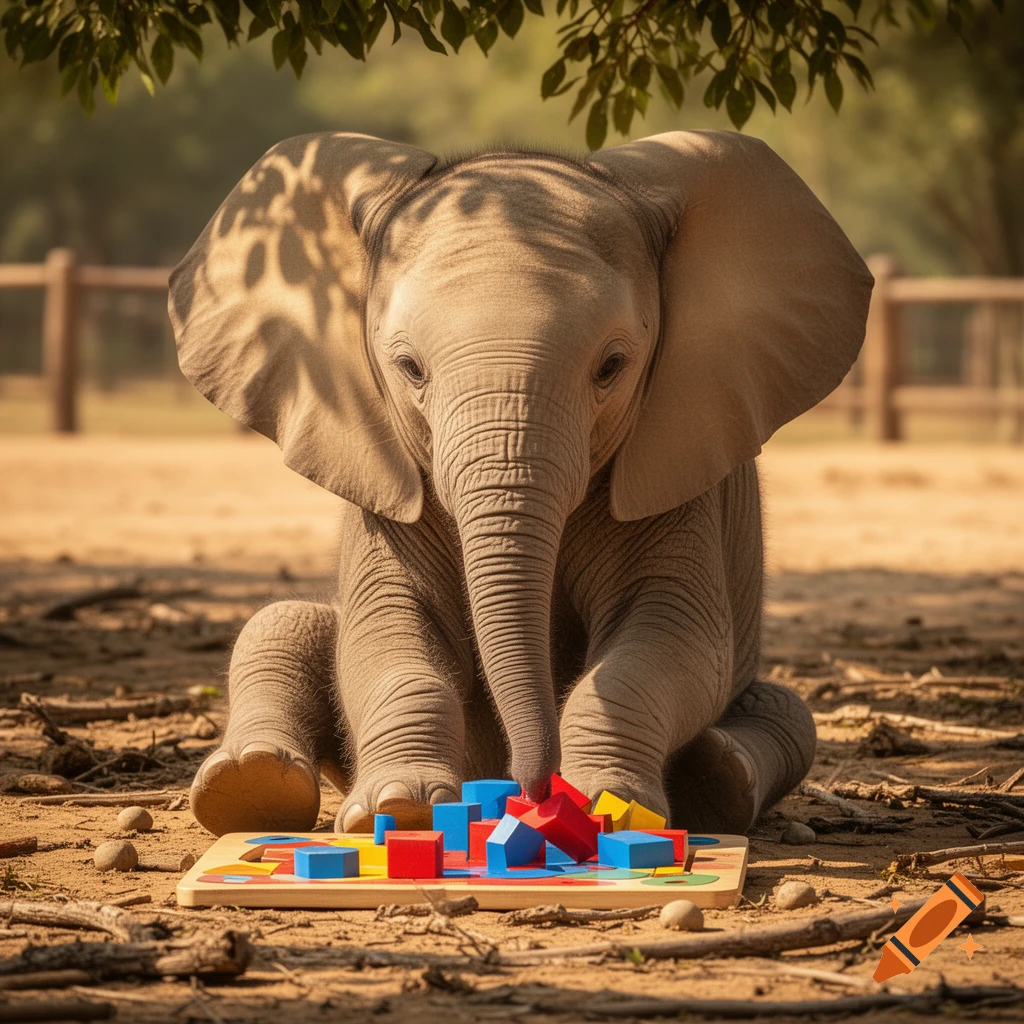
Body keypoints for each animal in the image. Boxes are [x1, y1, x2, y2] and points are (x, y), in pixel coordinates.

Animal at [168, 130, 872, 837]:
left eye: (612, 366)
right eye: (409, 368)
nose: (529, 788)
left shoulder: (677, 476)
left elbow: (673, 641)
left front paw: (604, 806)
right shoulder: (390, 495)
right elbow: (385, 636)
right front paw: (401, 810)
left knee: (787, 710)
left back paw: (719, 779)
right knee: (281, 623)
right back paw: (249, 787)